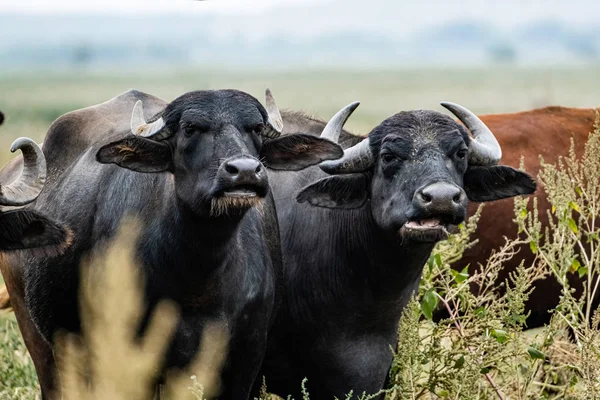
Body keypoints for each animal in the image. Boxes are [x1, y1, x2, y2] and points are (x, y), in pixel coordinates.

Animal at [2, 89, 344, 398]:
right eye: (190, 129)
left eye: (256, 129)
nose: (245, 171)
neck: (198, 279)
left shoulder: (244, 359)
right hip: (41, 338)